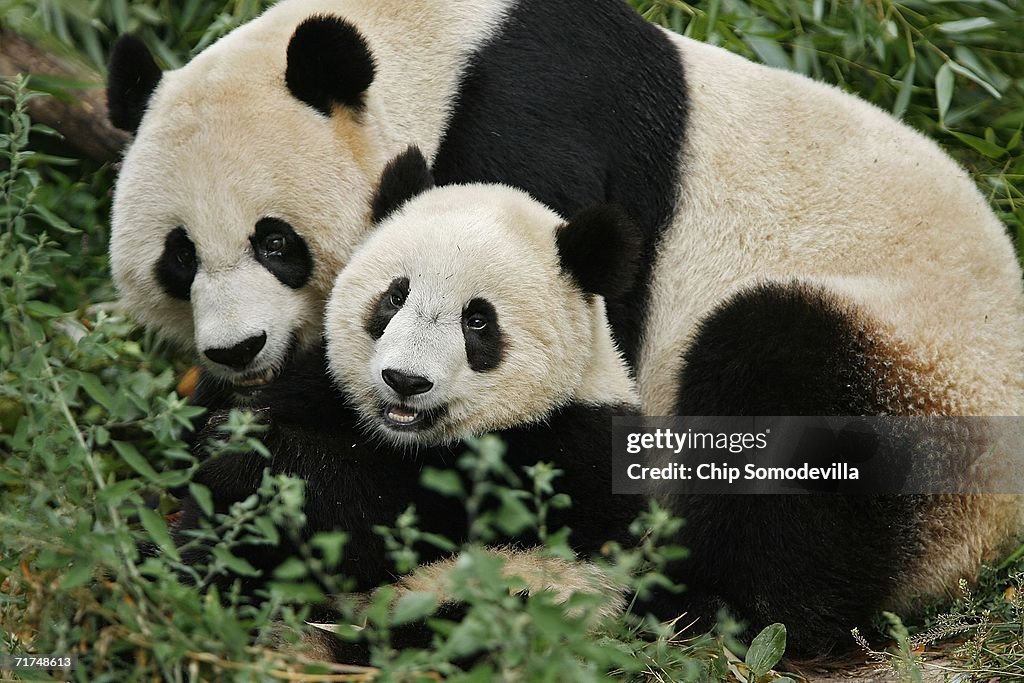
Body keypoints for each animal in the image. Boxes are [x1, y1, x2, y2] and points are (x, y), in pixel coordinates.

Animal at [105, 0, 1024, 663]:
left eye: (275, 242)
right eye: (179, 257)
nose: (235, 350)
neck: (439, 51)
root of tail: (984, 536)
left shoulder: (542, 131)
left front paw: (273, 476)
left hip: (915, 371)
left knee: (780, 411)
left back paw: (697, 603)